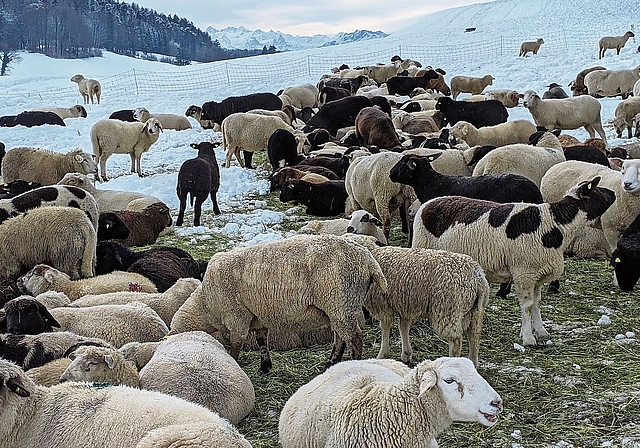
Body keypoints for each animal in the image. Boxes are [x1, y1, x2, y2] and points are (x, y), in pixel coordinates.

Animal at [170, 234, 387, 373]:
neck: (206, 304)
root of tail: (368, 259)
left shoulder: (237, 316)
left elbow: (236, 344)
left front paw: (235, 363)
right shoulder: (258, 316)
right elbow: (261, 341)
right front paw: (265, 366)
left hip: (341, 302)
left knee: (354, 338)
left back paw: (352, 364)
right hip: (339, 307)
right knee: (341, 338)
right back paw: (330, 364)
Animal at [344, 234, 489, 365]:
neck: (374, 255)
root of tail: (478, 278)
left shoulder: (382, 304)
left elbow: (385, 327)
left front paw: (382, 354)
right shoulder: (406, 303)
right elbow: (403, 326)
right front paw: (406, 354)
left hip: (448, 309)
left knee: (456, 340)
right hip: (475, 312)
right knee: (474, 336)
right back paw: (473, 363)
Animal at [412, 178, 616, 346]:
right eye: (598, 190)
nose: (613, 193)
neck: (556, 225)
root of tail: (427, 204)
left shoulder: (537, 274)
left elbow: (537, 303)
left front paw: (540, 331)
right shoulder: (524, 272)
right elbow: (527, 306)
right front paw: (528, 338)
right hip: (422, 248)